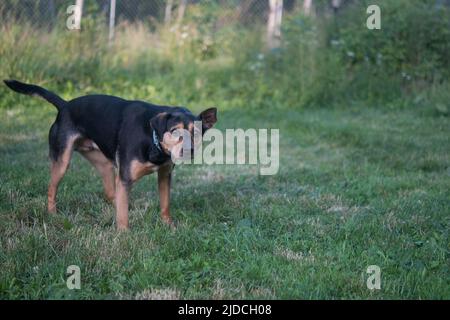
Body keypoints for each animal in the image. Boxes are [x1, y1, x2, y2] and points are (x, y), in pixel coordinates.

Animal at [4, 79, 217, 230]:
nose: (188, 151)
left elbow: (165, 204)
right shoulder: (125, 178)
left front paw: (169, 226)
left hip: (104, 164)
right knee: (51, 190)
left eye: (197, 133)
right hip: (62, 161)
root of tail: (64, 106)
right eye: (174, 131)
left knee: (110, 194)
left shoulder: (164, 175)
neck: (153, 138)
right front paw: (124, 236)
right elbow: (122, 215)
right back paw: (52, 214)